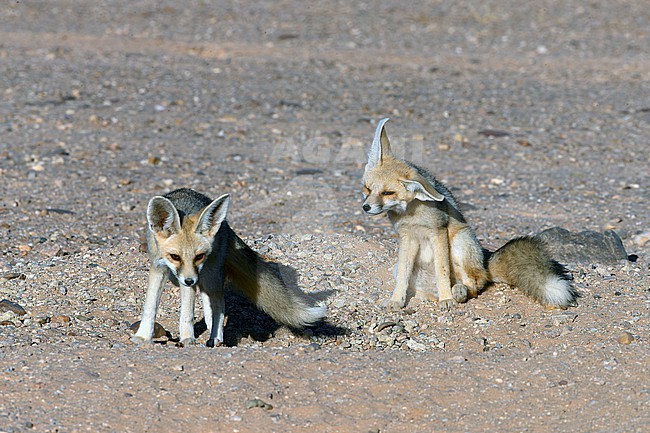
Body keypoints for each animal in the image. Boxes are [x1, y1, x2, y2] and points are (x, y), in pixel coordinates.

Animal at [131, 188, 326, 347]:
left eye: (199, 256)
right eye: (175, 257)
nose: (189, 280)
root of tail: (224, 224)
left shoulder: (192, 276)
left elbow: (187, 313)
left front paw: (187, 338)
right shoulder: (158, 269)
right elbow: (150, 307)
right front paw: (142, 336)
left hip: (209, 276)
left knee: (219, 305)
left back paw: (216, 338)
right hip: (203, 280)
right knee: (210, 305)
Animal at [362, 118, 578, 311]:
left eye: (387, 193)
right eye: (367, 189)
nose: (366, 207)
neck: (411, 214)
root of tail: (486, 264)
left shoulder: (438, 231)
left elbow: (442, 271)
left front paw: (446, 300)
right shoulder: (407, 237)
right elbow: (403, 276)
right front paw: (396, 300)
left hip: (460, 241)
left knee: (475, 282)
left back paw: (458, 292)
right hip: (401, 266)